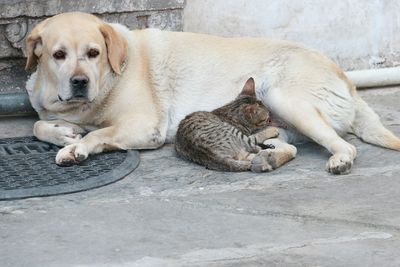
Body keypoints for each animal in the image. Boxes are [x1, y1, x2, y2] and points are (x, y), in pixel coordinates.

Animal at [25, 12, 400, 176]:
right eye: (58, 55)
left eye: (93, 53)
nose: (79, 82)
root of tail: (347, 81)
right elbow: (38, 124)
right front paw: (62, 133)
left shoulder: (144, 126)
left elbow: (99, 134)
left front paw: (75, 148)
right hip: (273, 122)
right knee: (284, 146)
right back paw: (269, 158)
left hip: (284, 97)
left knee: (345, 145)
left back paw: (340, 159)